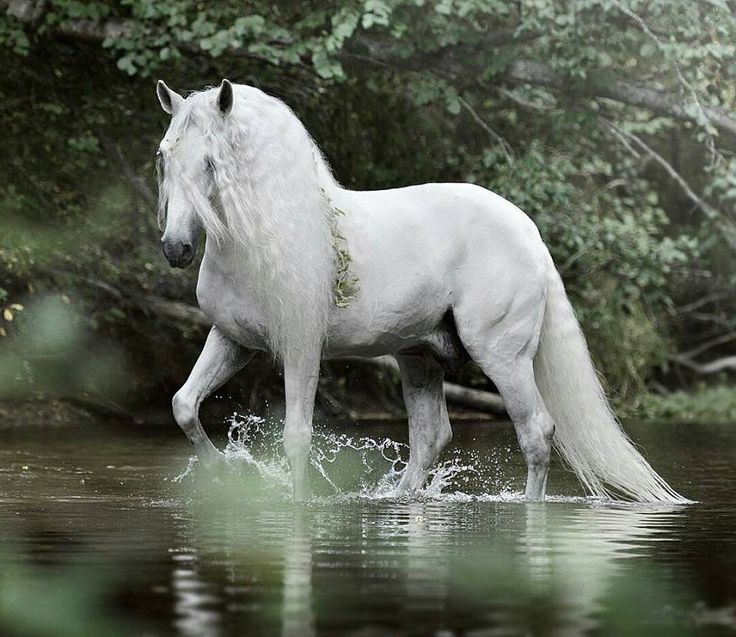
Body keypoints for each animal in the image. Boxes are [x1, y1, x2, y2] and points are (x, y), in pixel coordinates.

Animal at [154, 78, 684, 502]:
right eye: (164, 156)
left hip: (503, 357)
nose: (176, 248)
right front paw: (222, 472)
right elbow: (184, 406)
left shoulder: (302, 349)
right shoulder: (232, 340)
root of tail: (527, 231)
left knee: (535, 430)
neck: (259, 242)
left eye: (211, 163)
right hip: (420, 356)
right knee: (431, 437)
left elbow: (296, 435)